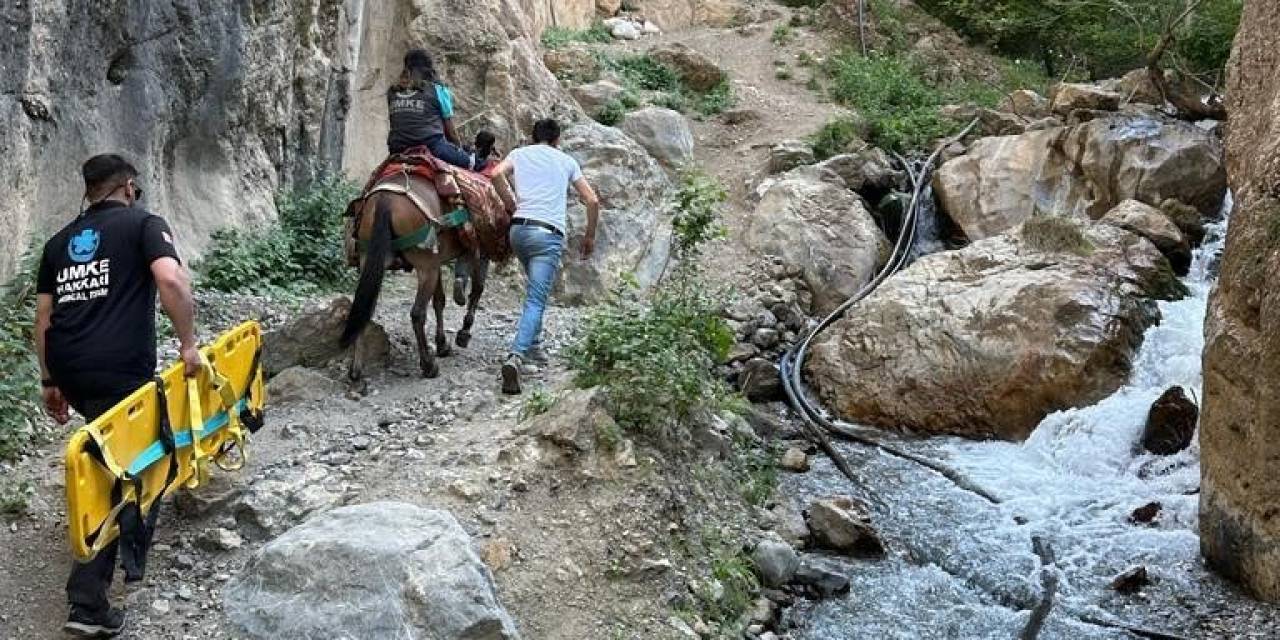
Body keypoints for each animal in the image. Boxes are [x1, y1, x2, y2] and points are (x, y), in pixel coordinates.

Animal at [337, 174, 486, 384]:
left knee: (364, 307)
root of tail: (384, 199)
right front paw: (463, 333)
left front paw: (442, 344)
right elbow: (477, 288)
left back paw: (356, 369)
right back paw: (428, 365)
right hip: (425, 266)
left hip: (372, 261)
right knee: (417, 313)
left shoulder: (437, 262)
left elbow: (439, 300)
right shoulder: (472, 252)